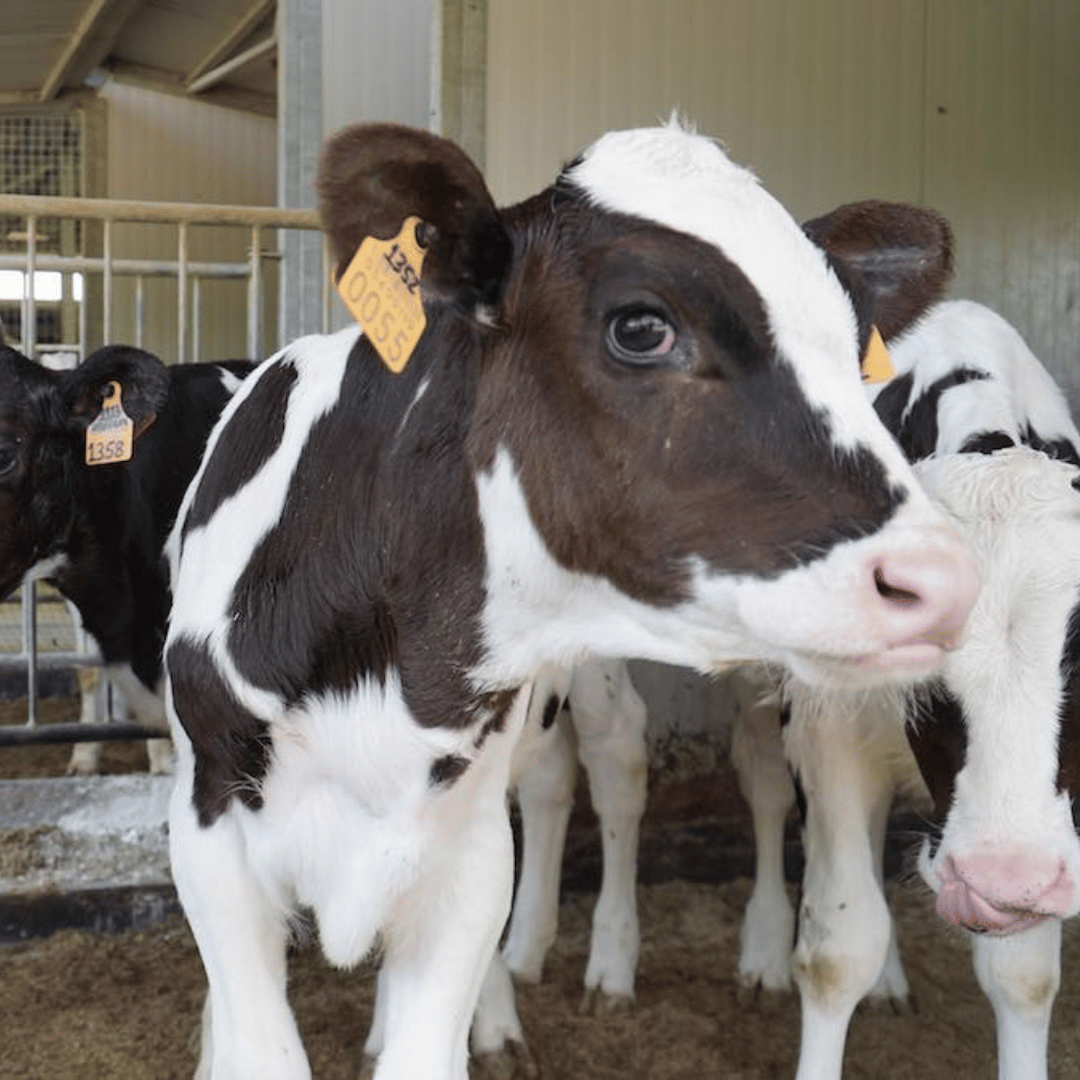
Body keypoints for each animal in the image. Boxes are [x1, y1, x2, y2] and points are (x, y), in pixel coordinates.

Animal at [162, 120, 980, 1080]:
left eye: (857, 349)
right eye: (641, 327)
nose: (944, 578)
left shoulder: (467, 853)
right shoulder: (209, 829)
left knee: (609, 766)